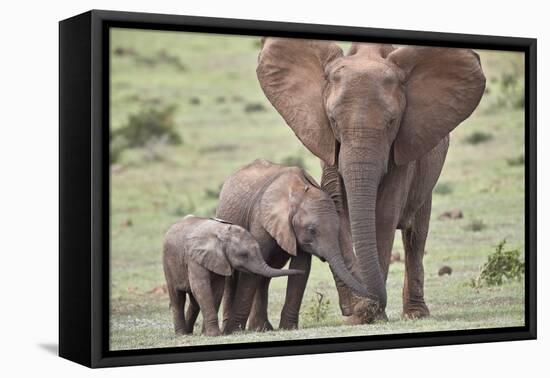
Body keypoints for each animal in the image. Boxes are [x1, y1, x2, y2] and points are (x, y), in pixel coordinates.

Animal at [162, 214, 304, 336]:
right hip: (168, 264)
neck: (221, 233)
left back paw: (190, 332)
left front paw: (207, 334)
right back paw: (182, 334)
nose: (301, 272)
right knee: (178, 298)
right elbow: (201, 288)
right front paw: (214, 335)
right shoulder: (194, 258)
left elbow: (217, 290)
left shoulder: (219, 260)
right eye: (244, 255)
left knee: (194, 301)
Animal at [218, 159, 374, 334]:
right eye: (312, 230)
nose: (371, 300)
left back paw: (261, 328)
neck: (298, 193)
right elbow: (252, 271)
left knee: (265, 275)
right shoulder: (260, 220)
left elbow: (301, 267)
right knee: (234, 277)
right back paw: (232, 329)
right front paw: (234, 330)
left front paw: (288, 328)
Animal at [256, 38, 486, 322]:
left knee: (416, 235)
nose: (363, 305)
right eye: (333, 120)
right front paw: (359, 314)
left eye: (392, 122)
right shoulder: (327, 143)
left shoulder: (403, 146)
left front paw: (372, 314)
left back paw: (416, 314)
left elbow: (384, 213)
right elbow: (338, 207)